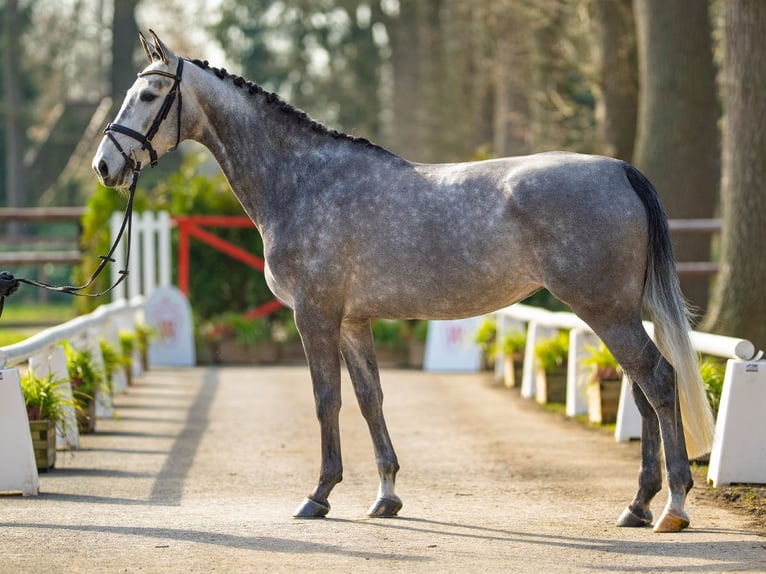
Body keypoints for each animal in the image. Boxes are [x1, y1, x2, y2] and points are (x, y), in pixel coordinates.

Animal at [93, 31, 715, 533]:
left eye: (149, 95)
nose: (104, 166)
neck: (304, 181)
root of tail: (620, 170)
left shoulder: (314, 315)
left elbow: (326, 399)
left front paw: (318, 496)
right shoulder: (352, 321)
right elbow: (370, 399)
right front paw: (386, 496)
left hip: (603, 310)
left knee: (659, 382)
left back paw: (673, 506)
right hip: (615, 311)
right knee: (641, 390)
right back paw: (637, 505)